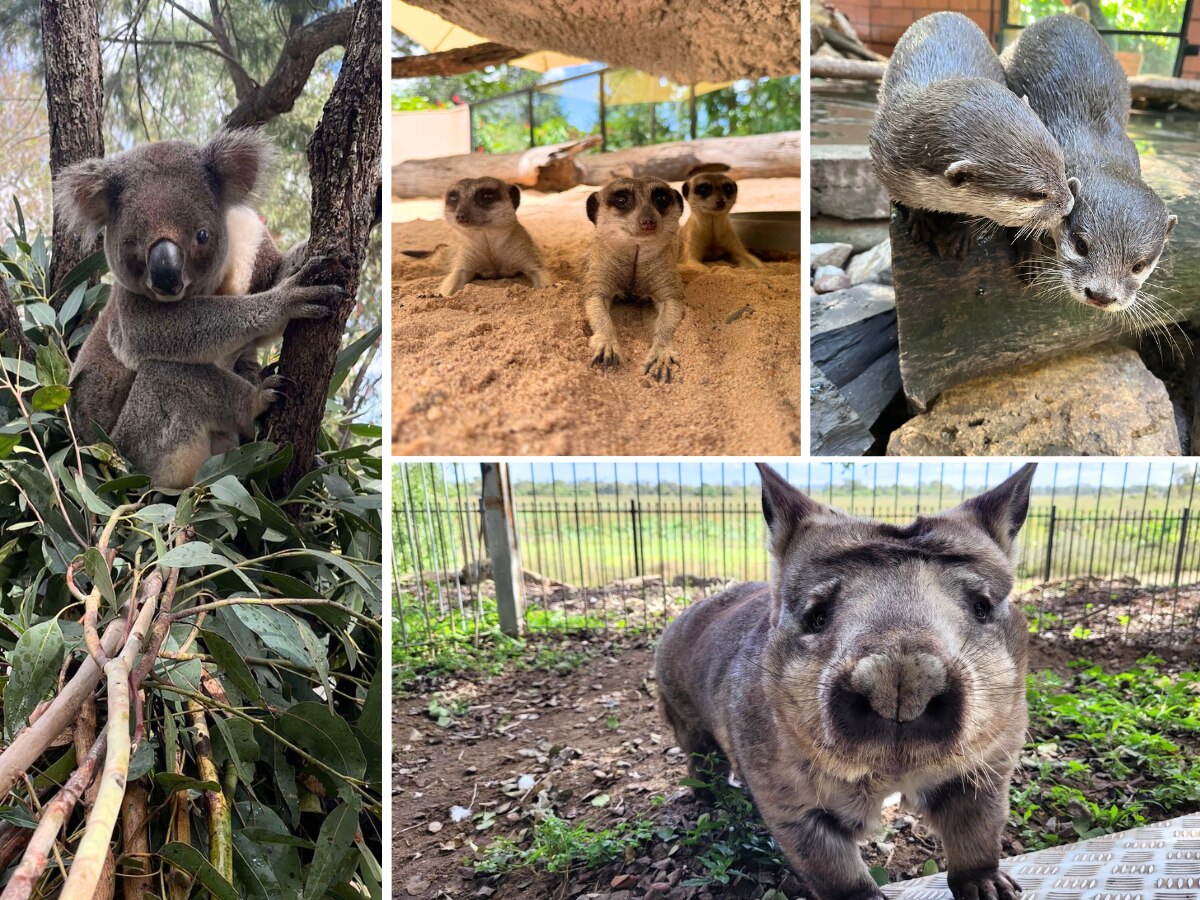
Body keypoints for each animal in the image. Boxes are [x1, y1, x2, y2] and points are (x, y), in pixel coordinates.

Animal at [656, 462, 1035, 900]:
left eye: (981, 607)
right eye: (817, 616)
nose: (899, 685)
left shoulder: (993, 755)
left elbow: (978, 825)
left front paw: (989, 887)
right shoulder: (780, 781)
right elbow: (827, 860)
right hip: (678, 699)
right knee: (698, 749)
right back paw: (708, 793)